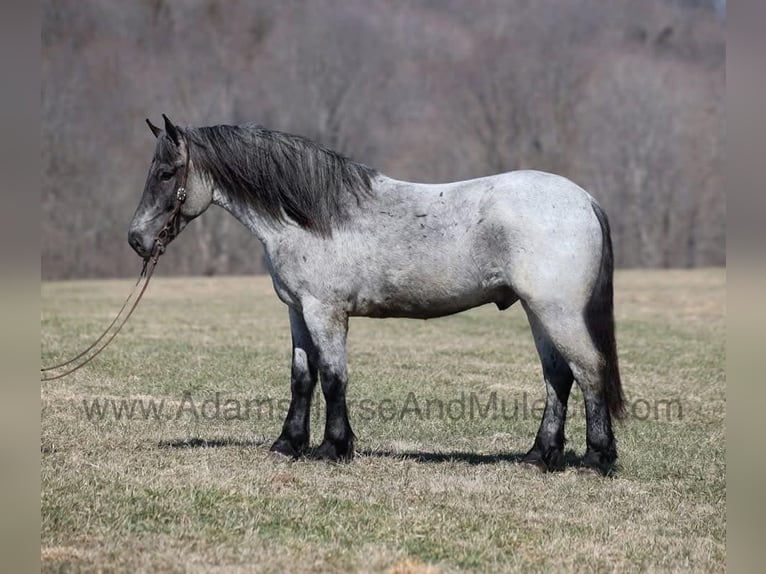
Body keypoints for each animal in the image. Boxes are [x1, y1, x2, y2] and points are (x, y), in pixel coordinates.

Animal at [129, 115, 625, 474]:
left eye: (167, 172)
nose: (136, 239)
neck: (309, 217)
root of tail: (585, 200)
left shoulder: (325, 312)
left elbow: (333, 376)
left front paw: (333, 448)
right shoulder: (297, 311)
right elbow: (303, 377)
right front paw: (288, 444)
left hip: (558, 311)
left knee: (589, 371)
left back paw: (596, 459)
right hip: (538, 312)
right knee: (558, 377)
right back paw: (539, 456)